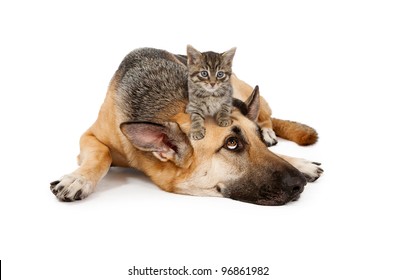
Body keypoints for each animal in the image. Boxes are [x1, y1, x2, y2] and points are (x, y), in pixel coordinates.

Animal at [50, 47, 322, 206]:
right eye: (232, 144)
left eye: (251, 139)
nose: (300, 183)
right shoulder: (90, 136)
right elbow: (101, 154)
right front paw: (78, 179)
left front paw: (299, 162)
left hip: (241, 89)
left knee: (267, 116)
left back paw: (270, 131)